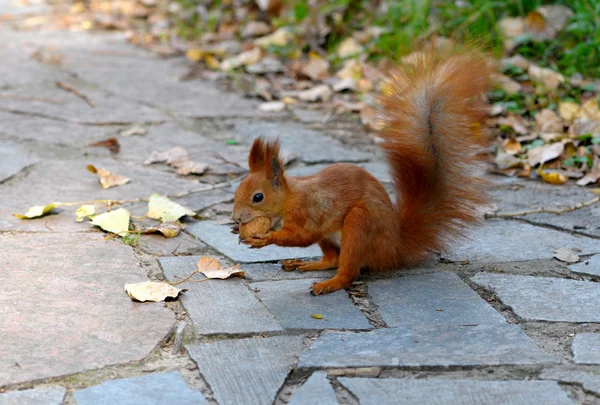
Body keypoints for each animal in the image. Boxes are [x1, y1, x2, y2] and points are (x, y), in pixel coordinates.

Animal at [230, 49, 492, 296]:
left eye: (258, 197)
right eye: (236, 191)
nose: (235, 218)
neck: (287, 201)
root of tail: (394, 249)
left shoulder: (308, 212)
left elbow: (302, 236)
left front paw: (266, 238)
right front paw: (236, 230)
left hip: (360, 224)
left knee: (348, 270)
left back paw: (329, 284)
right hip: (332, 237)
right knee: (332, 259)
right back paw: (306, 265)